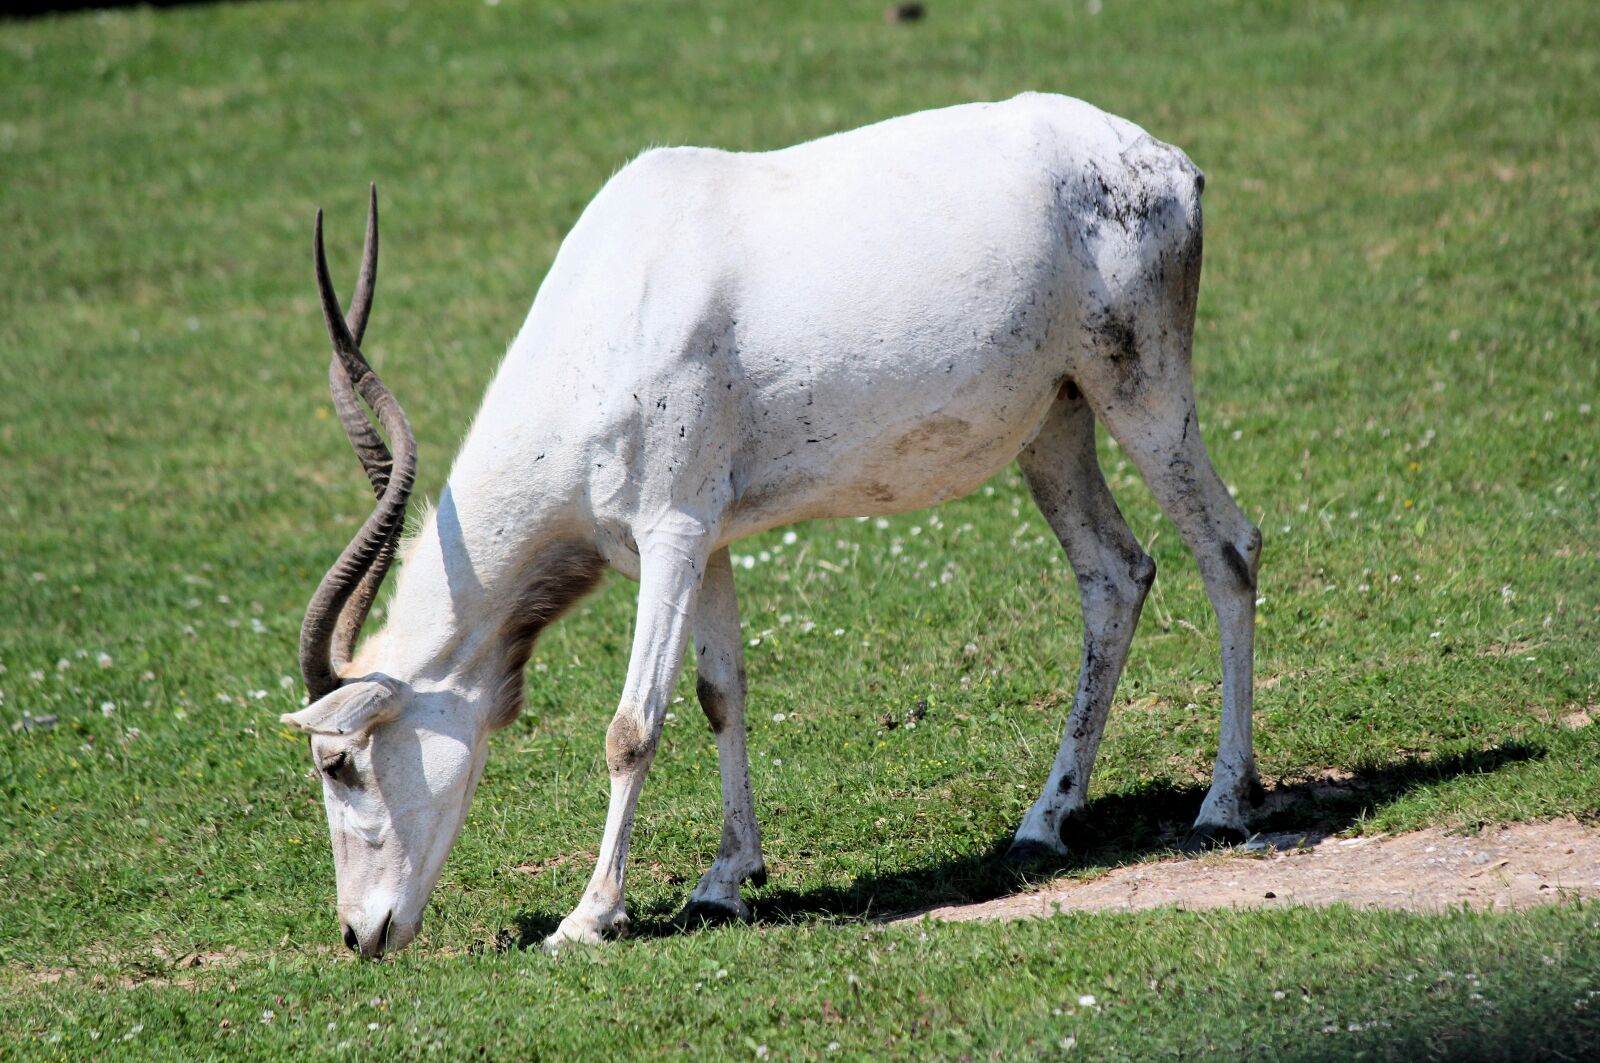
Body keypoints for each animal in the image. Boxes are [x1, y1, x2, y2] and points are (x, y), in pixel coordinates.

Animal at [282, 93, 1262, 958]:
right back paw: (1045, 819)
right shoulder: (705, 539)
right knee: (1115, 574)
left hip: (1140, 389)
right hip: (1056, 420)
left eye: (340, 762)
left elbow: (632, 725)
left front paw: (589, 917)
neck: (608, 313)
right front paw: (725, 880)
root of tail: (1167, 164)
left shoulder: (672, 531)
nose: (361, 934)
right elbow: (721, 694)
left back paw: (1224, 804)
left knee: (1228, 548)